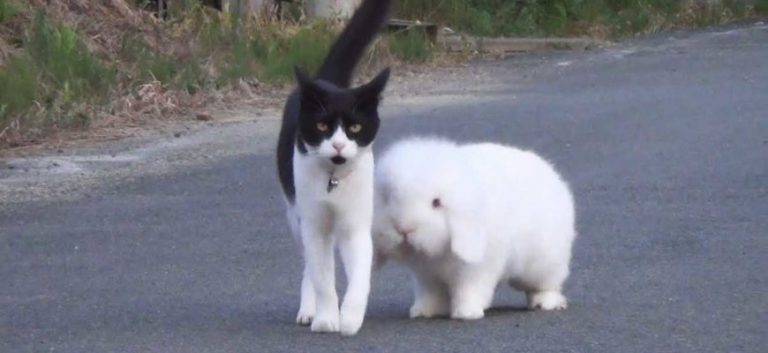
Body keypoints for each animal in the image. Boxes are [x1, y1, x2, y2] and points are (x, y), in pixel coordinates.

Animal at [276, 0, 392, 336]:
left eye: (354, 127)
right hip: (296, 215)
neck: (334, 181)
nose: (339, 146)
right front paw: (327, 319)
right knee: (309, 267)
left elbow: (360, 276)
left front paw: (350, 318)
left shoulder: (356, 226)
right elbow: (323, 280)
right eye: (322, 126)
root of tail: (325, 81)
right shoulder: (314, 224)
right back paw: (308, 311)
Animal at [372, 136, 576, 318]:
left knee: (546, 285)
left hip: (542, 265)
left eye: (436, 203)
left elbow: (469, 291)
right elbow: (431, 295)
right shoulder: (427, 277)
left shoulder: (475, 272)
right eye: (388, 198)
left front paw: (466, 313)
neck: (437, 254)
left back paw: (544, 303)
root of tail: (550, 173)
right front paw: (423, 312)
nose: (404, 228)